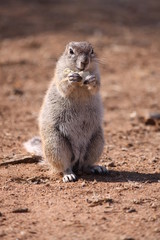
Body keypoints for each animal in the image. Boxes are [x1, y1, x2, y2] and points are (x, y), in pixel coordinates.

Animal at [24, 40, 107, 182]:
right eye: (71, 51)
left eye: (92, 51)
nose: (84, 62)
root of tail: (77, 159)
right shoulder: (59, 74)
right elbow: (64, 86)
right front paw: (71, 78)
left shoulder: (97, 73)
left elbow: (97, 86)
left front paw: (92, 80)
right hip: (57, 145)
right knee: (64, 166)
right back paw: (68, 175)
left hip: (96, 143)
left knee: (85, 165)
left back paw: (95, 167)